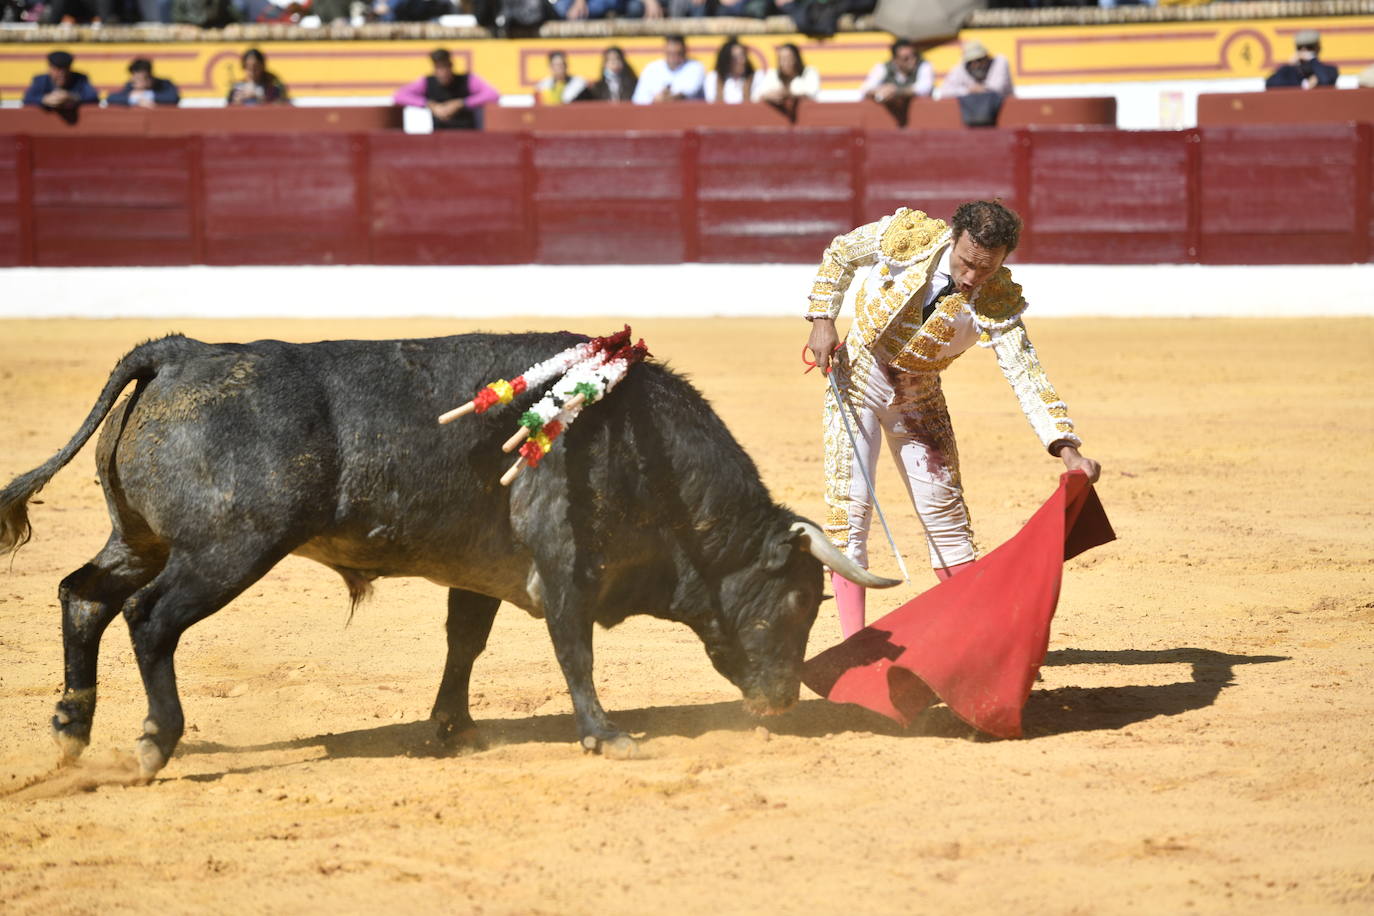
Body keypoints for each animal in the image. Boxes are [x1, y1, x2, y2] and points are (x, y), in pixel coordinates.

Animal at [0, 333, 895, 780]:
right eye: (800, 601)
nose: (781, 702)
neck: (646, 448)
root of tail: (179, 352)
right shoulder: (565, 562)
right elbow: (574, 649)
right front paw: (605, 736)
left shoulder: (484, 572)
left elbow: (465, 640)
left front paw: (451, 729)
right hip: (229, 547)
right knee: (150, 619)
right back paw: (154, 740)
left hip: (141, 540)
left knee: (83, 595)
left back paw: (71, 730)